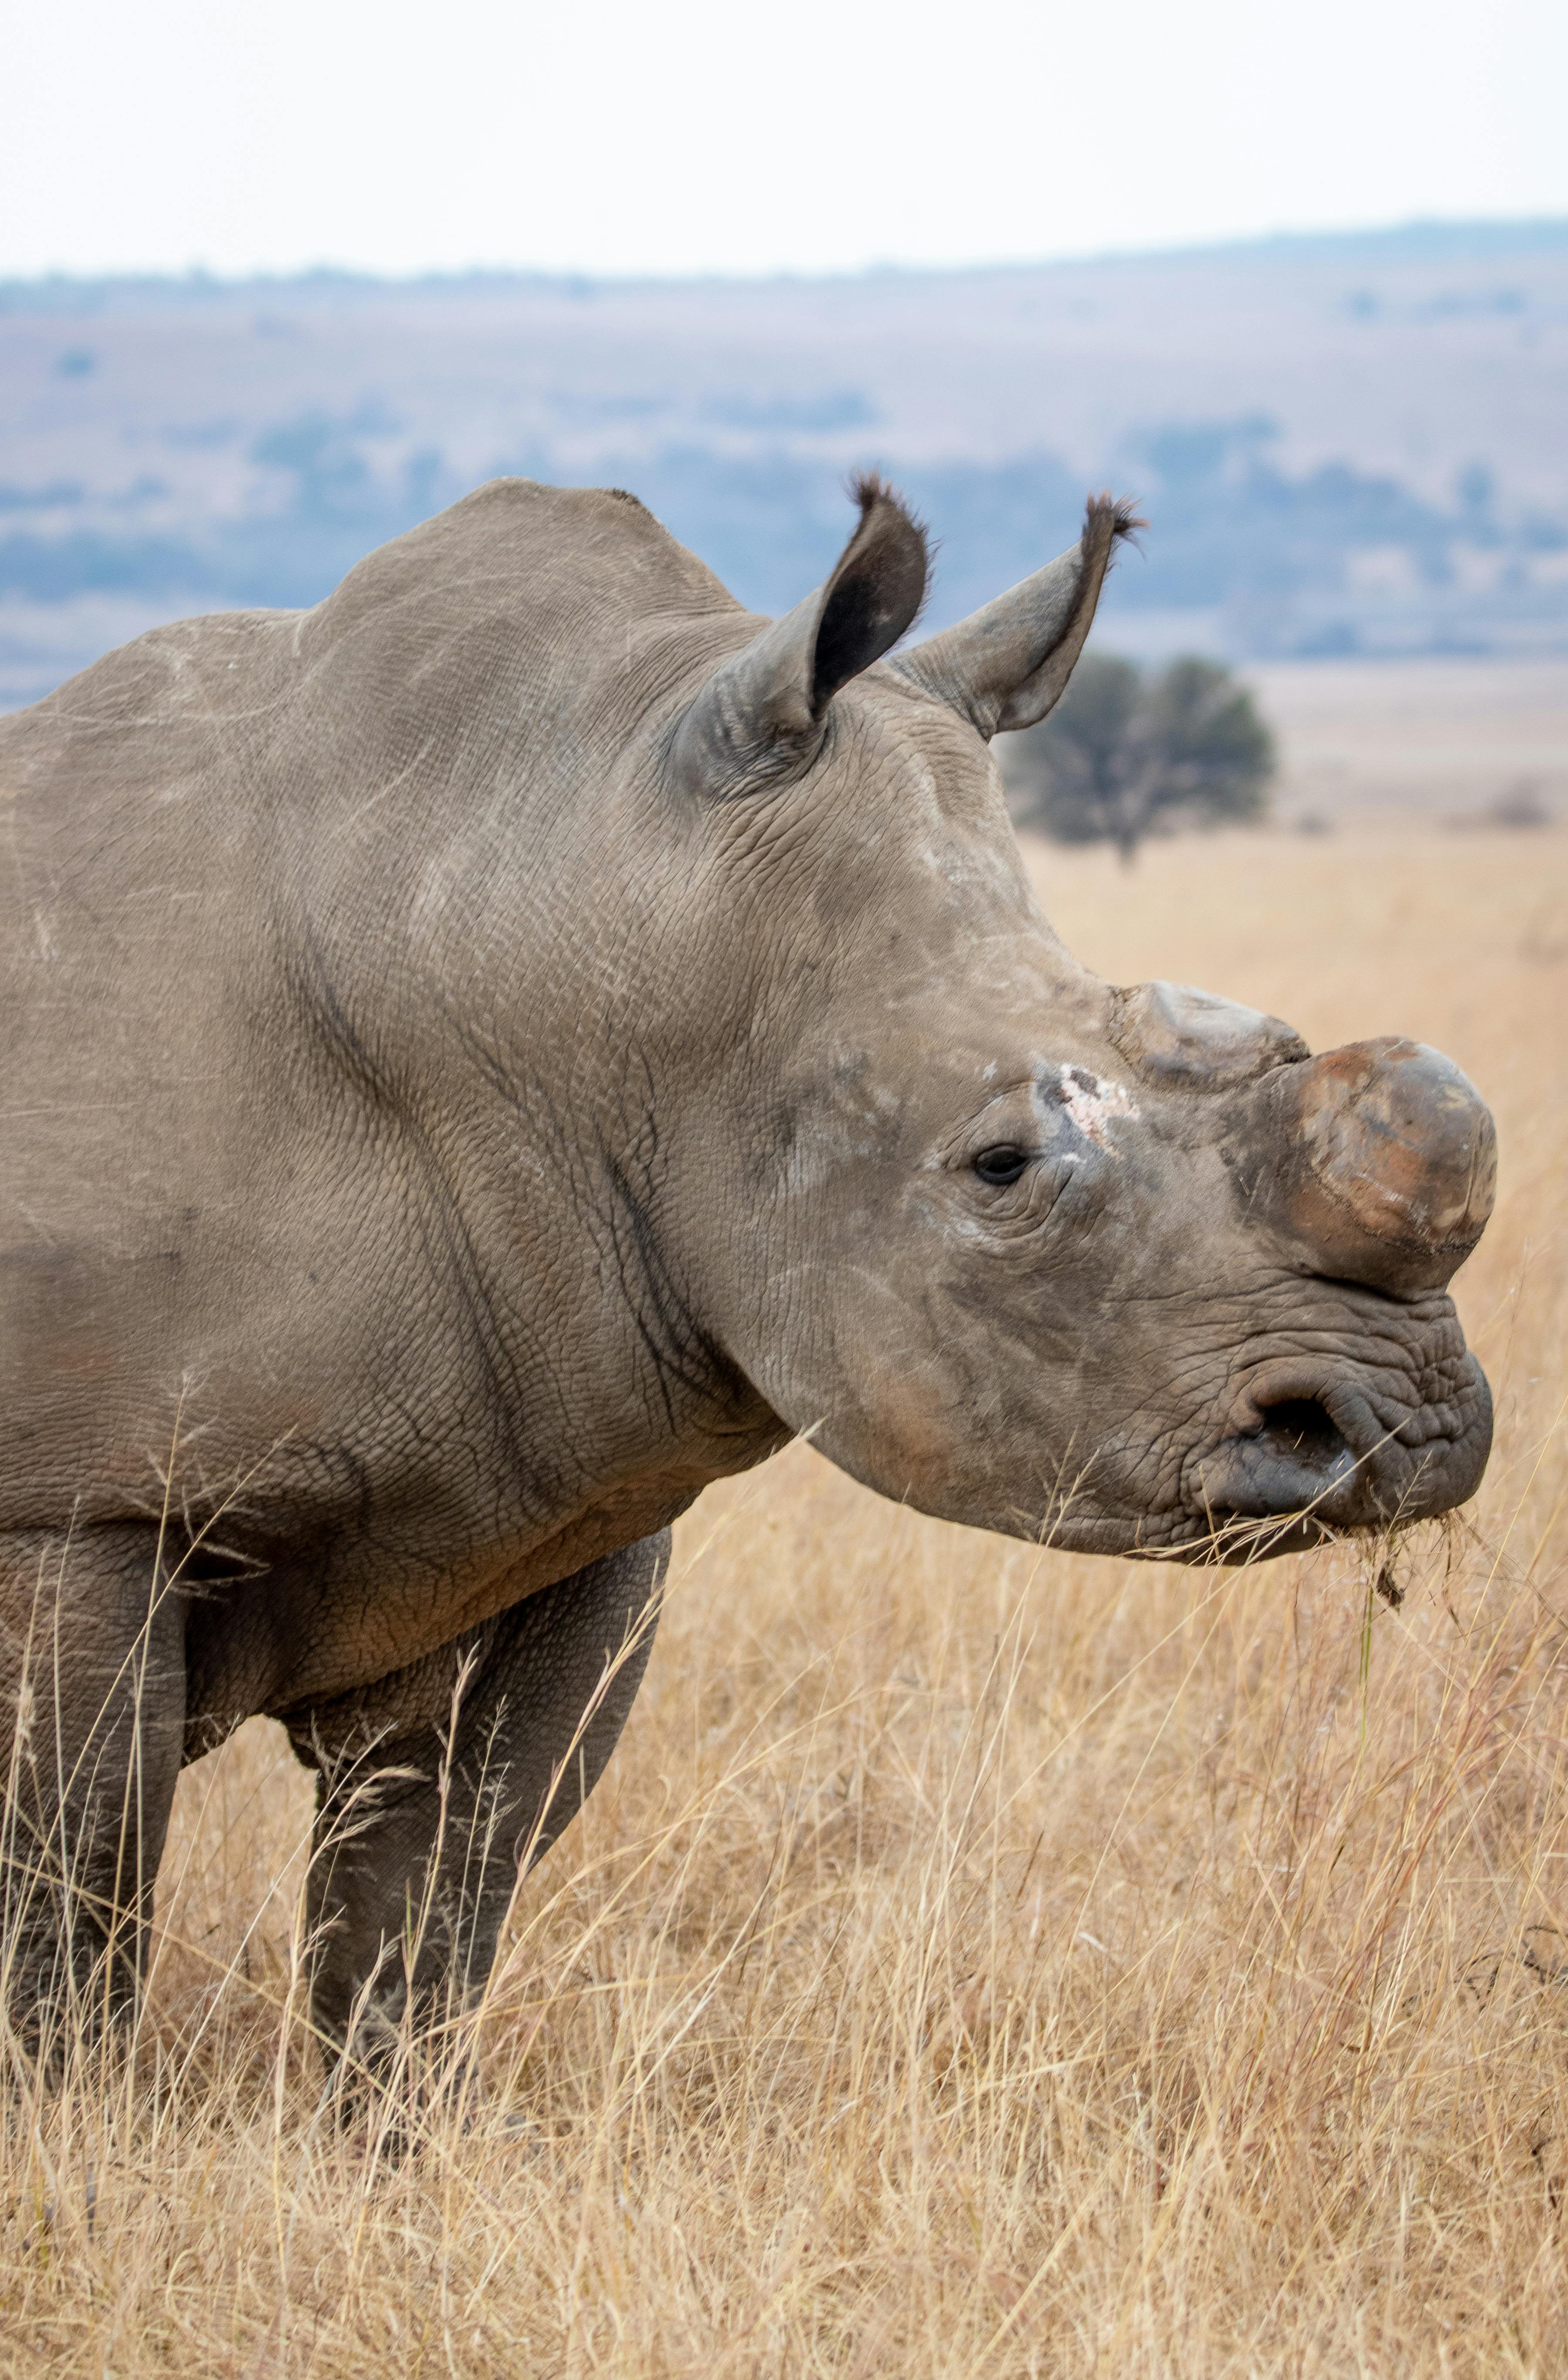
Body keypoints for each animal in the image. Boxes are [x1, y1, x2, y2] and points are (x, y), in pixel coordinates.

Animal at [0, 475, 1495, 2060]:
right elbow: (69, 1902)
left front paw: (379, 2110)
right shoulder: (71, 1499)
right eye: (1001, 1167)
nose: (1417, 1428)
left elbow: (434, 1902)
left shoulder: (553, 1490)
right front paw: (78, 2118)